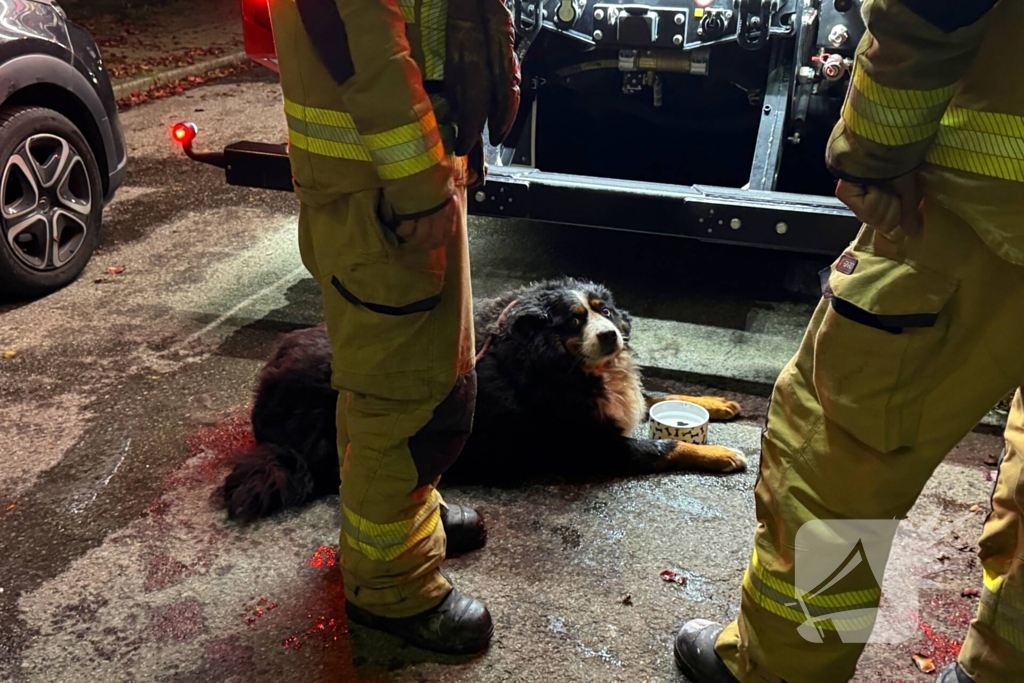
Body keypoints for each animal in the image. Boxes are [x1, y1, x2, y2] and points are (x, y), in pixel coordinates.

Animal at [222, 274, 745, 520]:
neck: (548, 358)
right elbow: (667, 445)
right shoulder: (595, 446)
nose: (611, 336)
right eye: (574, 321)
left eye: (605, 310)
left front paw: (718, 405)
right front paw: (721, 454)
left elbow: (659, 392)